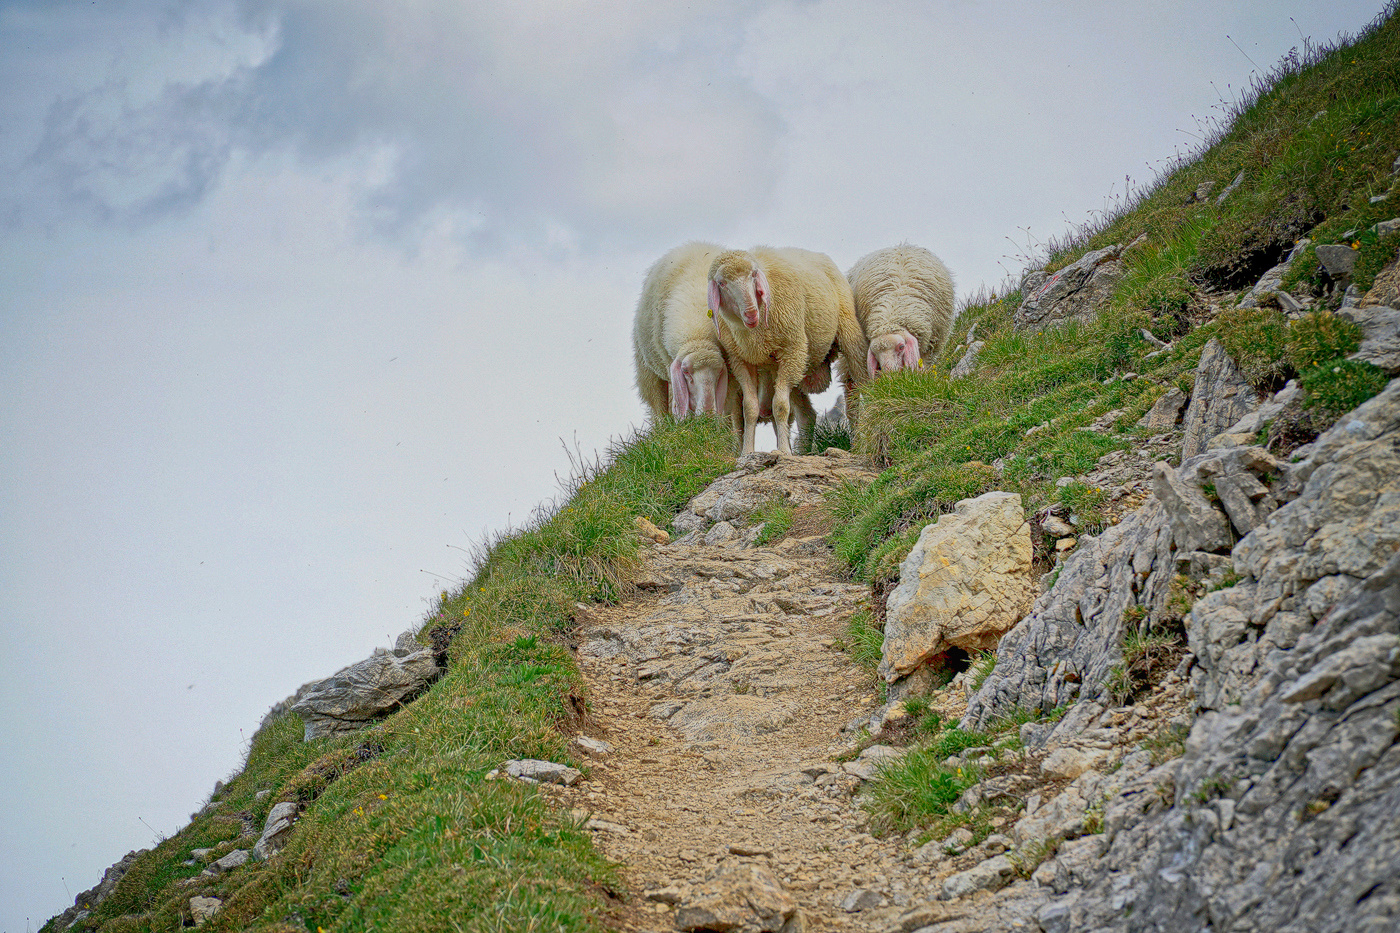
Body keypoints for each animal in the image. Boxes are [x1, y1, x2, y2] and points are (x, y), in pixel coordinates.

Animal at [630, 239, 728, 417]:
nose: (707, 414)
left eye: (718, 373)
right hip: (648, 373)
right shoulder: (669, 363)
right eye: (686, 372)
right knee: (659, 406)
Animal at [711, 245, 862, 451]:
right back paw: (803, 451)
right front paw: (747, 452)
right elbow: (749, 408)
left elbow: (780, 406)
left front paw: (783, 450)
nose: (750, 313)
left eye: (753, 274)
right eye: (722, 283)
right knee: (807, 415)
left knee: (861, 384)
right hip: (793, 365)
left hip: (844, 332)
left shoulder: (792, 349)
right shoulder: (741, 360)